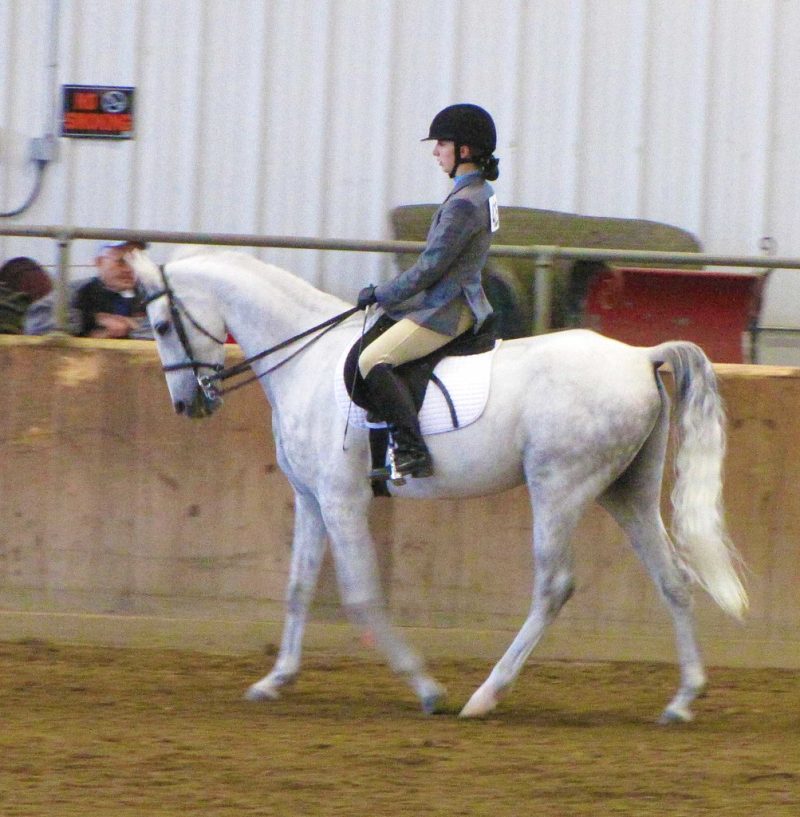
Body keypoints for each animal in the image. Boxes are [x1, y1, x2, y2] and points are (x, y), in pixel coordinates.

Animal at [130, 247, 747, 723]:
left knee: (554, 587)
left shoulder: (342, 501)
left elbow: (361, 595)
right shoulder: (311, 499)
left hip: (559, 487)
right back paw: (682, 700)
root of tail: (640, 357)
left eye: (159, 326)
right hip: (627, 492)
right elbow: (299, 587)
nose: (188, 405)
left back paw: (485, 696)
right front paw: (275, 680)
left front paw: (426, 688)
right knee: (673, 580)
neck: (308, 363)